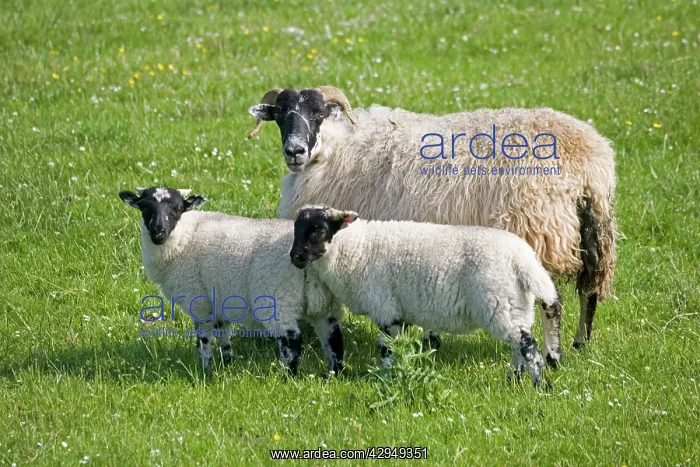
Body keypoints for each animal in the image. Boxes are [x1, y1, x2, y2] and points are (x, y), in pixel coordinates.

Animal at [119, 187, 344, 376]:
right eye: (145, 208)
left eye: (177, 209)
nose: (158, 232)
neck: (187, 235)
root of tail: (312, 258)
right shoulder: (219, 298)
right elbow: (224, 335)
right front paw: (227, 363)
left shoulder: (198, 300)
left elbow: (203, 338)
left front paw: (205, 368)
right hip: (323, 302)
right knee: (333, 339)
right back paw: (334, 375)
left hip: (278, 299)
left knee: (292, 341)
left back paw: (288, 377)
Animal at [248, 86, 616, 362]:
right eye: (280, 116)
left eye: (318, 114)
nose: (294, 151)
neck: (336, 149)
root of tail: (588, 162)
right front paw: (427, 341)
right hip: (595, 230)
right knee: (590, 291)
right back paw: (581, 344)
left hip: (538, 229)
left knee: (553, 298)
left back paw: (553, 353)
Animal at [289, 205, 559, 387]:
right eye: (296, 229)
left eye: (319, 230)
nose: (295, 258)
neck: (356, 249)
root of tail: (523, 258)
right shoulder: (401, 312)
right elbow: (399, 348)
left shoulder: (386, 309)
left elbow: (385, 348)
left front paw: (386, 378)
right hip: (516, 306)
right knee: (519, 345)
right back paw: (514, 379)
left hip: (499, 303)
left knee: (529, 347)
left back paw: (539, 386)